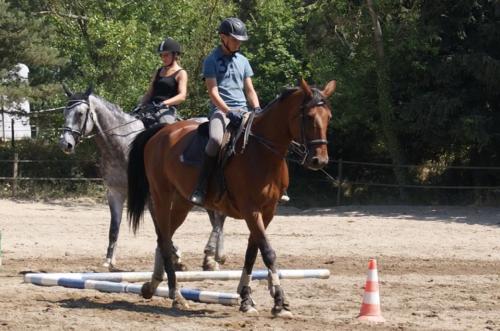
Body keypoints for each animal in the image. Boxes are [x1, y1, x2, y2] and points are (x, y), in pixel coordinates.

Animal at [59, 85, 229, 272]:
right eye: (65, 112)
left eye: (80, 113)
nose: (65, 144)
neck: (123, 144)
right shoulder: (115, 192)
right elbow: (114, 228)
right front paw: (109, 260)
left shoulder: (150, 195)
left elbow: (159, 226)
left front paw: (176, 256)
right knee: (216, 217)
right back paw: (214, 258)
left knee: (219, 217)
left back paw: (213, 258)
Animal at [128, 79, 336, 318]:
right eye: (309, 117)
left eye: (329, 117)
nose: (319, 160)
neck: (262, 152)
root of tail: (161, 132)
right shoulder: (250, 209)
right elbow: (268, 252)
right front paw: (280, 302)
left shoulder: (267, 211)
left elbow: (252, 253)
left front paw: (246, 300)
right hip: (161, 195)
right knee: (163, 239)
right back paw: (177, 295)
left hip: (182, 202)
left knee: (165, 238)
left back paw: (152, 286)